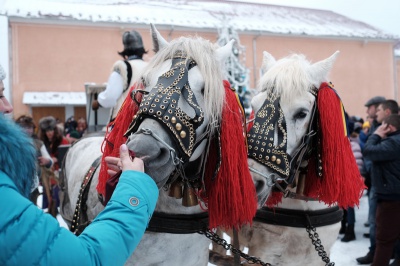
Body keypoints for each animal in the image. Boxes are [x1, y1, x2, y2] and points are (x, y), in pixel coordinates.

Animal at [209, 51, 366, 264]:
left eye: (301, 113)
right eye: (254, 106)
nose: (251, 182)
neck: (303, 207)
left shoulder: (318, 254)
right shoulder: (263, 253)